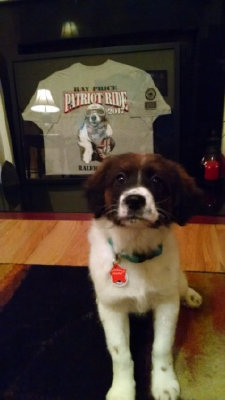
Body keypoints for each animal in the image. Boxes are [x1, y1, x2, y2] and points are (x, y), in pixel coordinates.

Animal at [85, 153, 203, 400]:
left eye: (157, 180)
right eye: (120, 178)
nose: (134, 200)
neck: (135, 246)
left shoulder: (167, 303)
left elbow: (161, 347)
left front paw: (164, 383)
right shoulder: (111, 308)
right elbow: (120, 354)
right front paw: (122, 391)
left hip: (175, 280)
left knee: (181, 284)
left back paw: (190, 295)